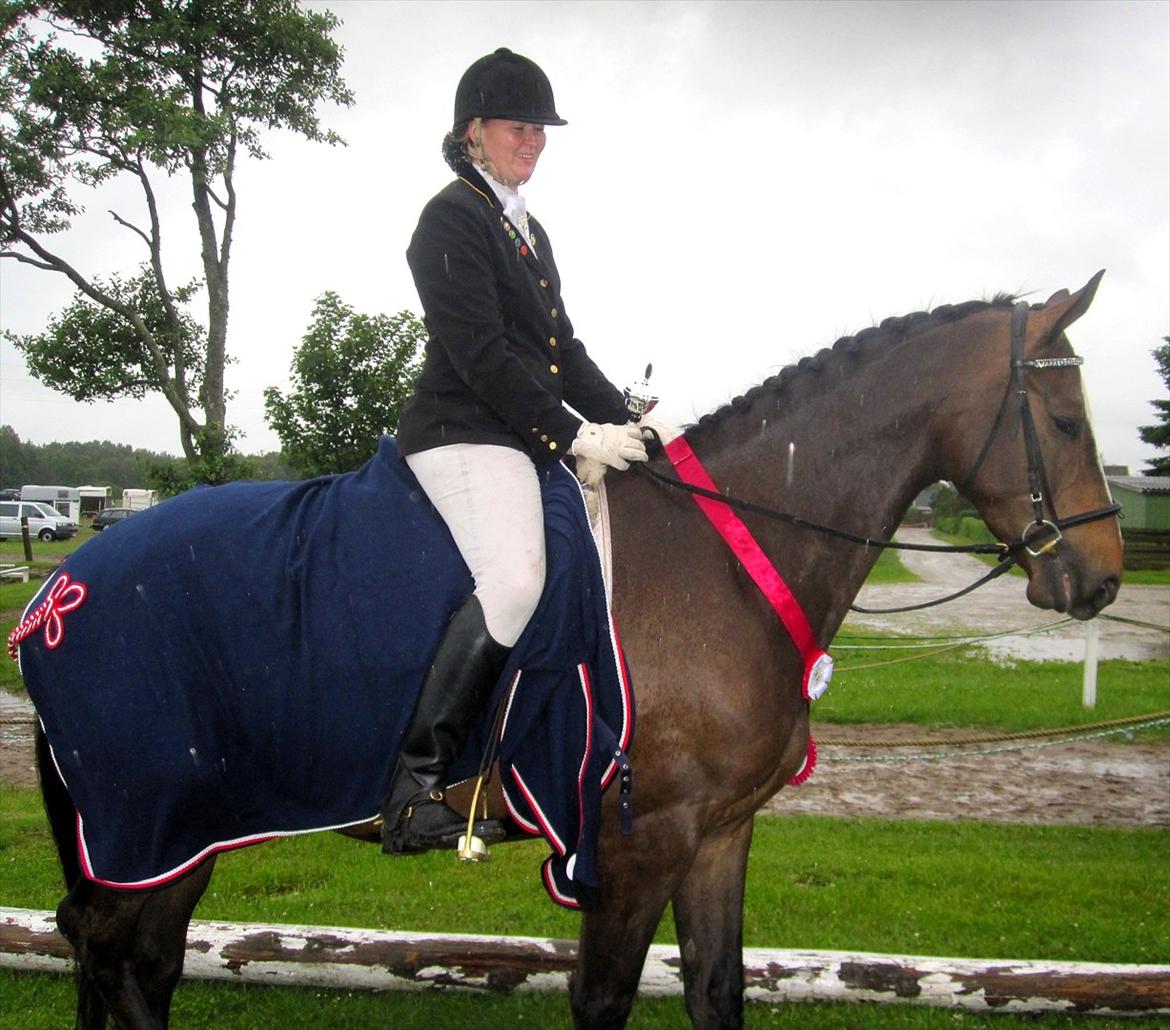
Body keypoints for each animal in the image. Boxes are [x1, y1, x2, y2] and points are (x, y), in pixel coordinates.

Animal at [20, 269, 1123, 1025]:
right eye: (1067, 419)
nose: (1104, 577)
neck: (723, 555)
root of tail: (55, 593)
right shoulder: (637, 843)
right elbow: (603, 999)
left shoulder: (720, 833)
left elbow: (717, 990)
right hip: (153, 825)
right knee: (117, 950)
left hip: (176, 835)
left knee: (134, 956)